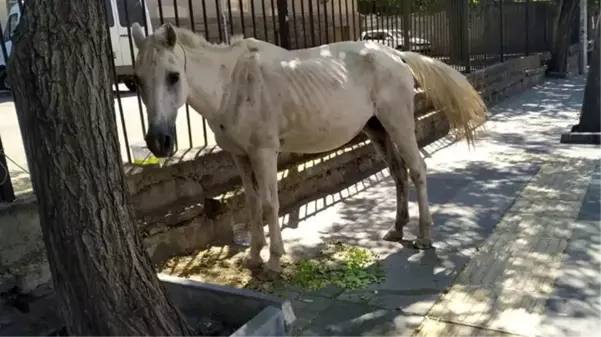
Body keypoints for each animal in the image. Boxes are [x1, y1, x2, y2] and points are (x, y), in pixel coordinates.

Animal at [131, 22, 488, 276]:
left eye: (174, 76)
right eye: (136, 81)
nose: (159, 142)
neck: (232, 85)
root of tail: (395, 55)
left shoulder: (263, 153)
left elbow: (270, 205)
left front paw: (274, 261)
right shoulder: (240, 157)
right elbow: (251, 205)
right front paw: (254, 257)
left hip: (398, 123)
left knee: (417, 171)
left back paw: (424, 236)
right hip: (377, 129)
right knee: (399, 173)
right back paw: (396, 229)